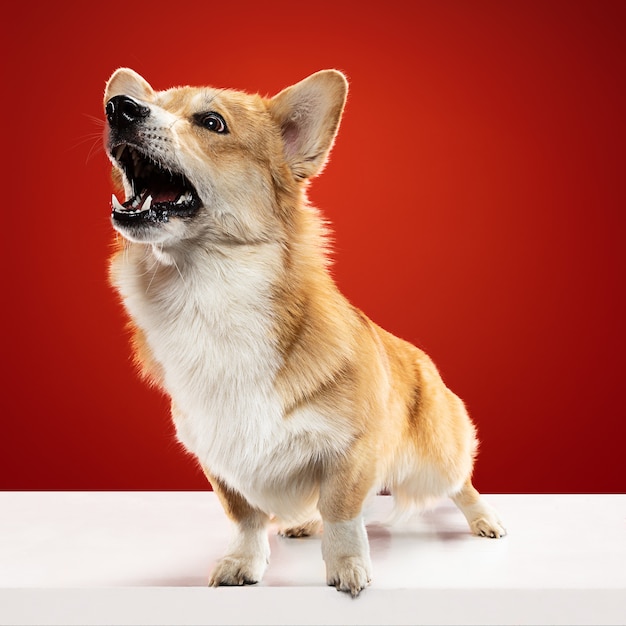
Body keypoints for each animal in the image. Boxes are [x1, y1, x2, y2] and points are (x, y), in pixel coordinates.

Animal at [101, 68, 502, 596]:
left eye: (211, 122)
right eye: (142, 103)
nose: (119, 108)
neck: (208, 294)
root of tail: (420, 356)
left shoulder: (350, 450)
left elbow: (343, 512)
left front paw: (347, 567)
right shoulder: (220, 458)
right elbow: (246, 517)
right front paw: (244, 563)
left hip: (436, 458)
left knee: (460, 483)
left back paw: (484, 519)